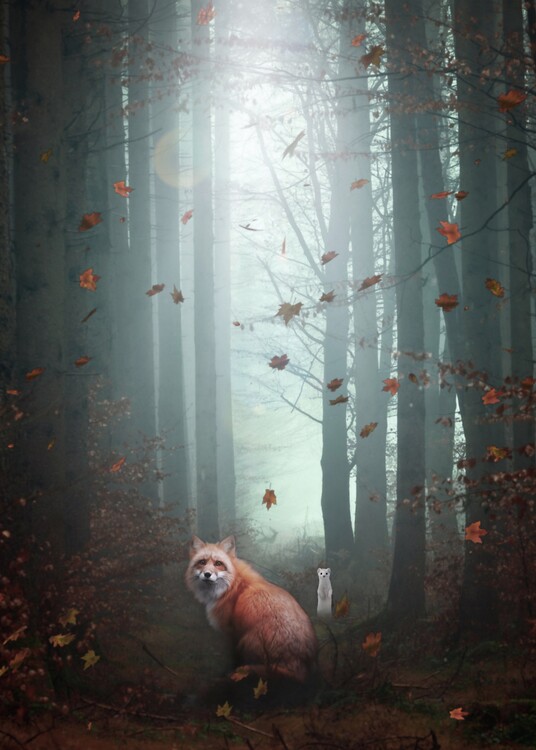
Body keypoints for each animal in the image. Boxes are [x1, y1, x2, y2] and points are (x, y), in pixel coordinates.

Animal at [185, 535, 318, 683]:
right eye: (202, 562)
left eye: (218, 563)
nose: (207, 574)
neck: (233, 586)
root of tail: (300, 669)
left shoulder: (233, 632)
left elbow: (234, 658)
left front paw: (230, 672)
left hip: (247, 640)